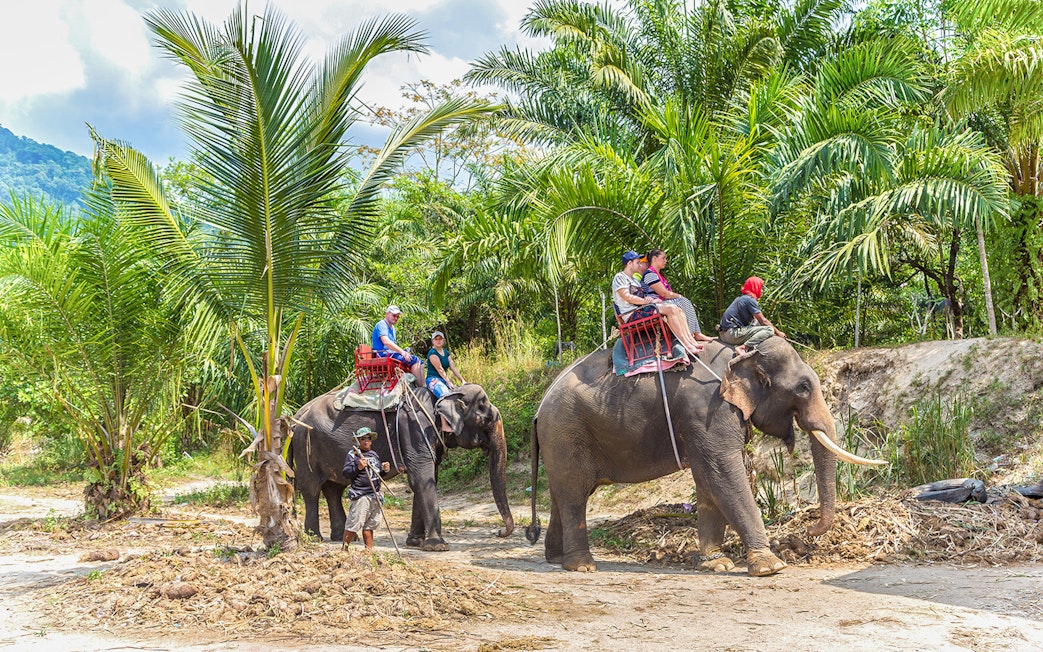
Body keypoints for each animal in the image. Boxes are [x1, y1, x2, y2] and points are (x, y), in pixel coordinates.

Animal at [289, 382, 514, 550]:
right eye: (487, 419)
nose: (499, 532)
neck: (444, 395)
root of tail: (296, 416)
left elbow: (427, 479)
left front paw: (415, 542)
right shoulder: (415, 427)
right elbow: (422, 478)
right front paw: (437, 546)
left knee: (333, 489)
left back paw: (343, 537)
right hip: (305, 446)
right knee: (312, 490)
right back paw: (315, 538)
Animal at [525, 337, 883, 575]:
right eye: (803, 388)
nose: (807, 532)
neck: (742, 355)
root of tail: (539, 407)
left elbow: (707, 479)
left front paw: (718, 564)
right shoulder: (708, 409)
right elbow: (721, 472)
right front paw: (771, 566)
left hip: (562, 439)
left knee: (563, 493)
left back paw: (556, 559)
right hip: (566, 431)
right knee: (575, 493)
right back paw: (582, 566)